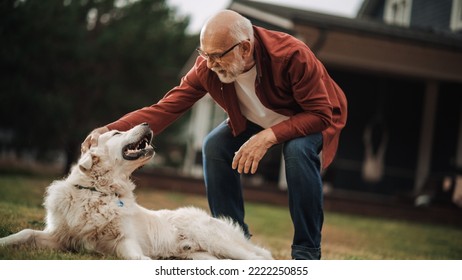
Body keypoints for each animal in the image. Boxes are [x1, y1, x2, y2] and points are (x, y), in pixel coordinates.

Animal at [0, 123, 272, 260]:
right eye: (116, 132)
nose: (147, 122)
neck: (97, 192)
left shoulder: (124, 240)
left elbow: (136, 257)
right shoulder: (61, 237)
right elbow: (25, 233)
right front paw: (4, 242)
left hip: (218, 242)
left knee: (261, 258)